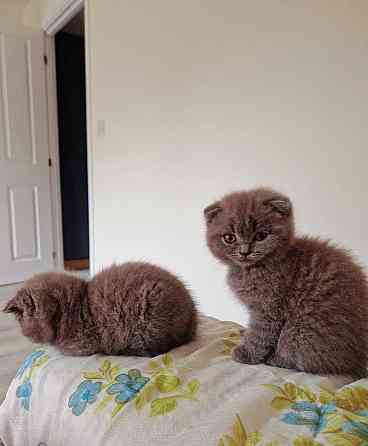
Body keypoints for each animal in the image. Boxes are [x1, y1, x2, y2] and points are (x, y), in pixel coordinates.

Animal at [204, 186, 368, 376]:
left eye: (261, 236)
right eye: (229, 238)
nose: (245, 252)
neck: (250, 270)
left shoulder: (269, 307)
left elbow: (260, 334)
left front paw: (247, 352)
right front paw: (243, 333)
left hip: (300, 330)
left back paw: (276, 359)